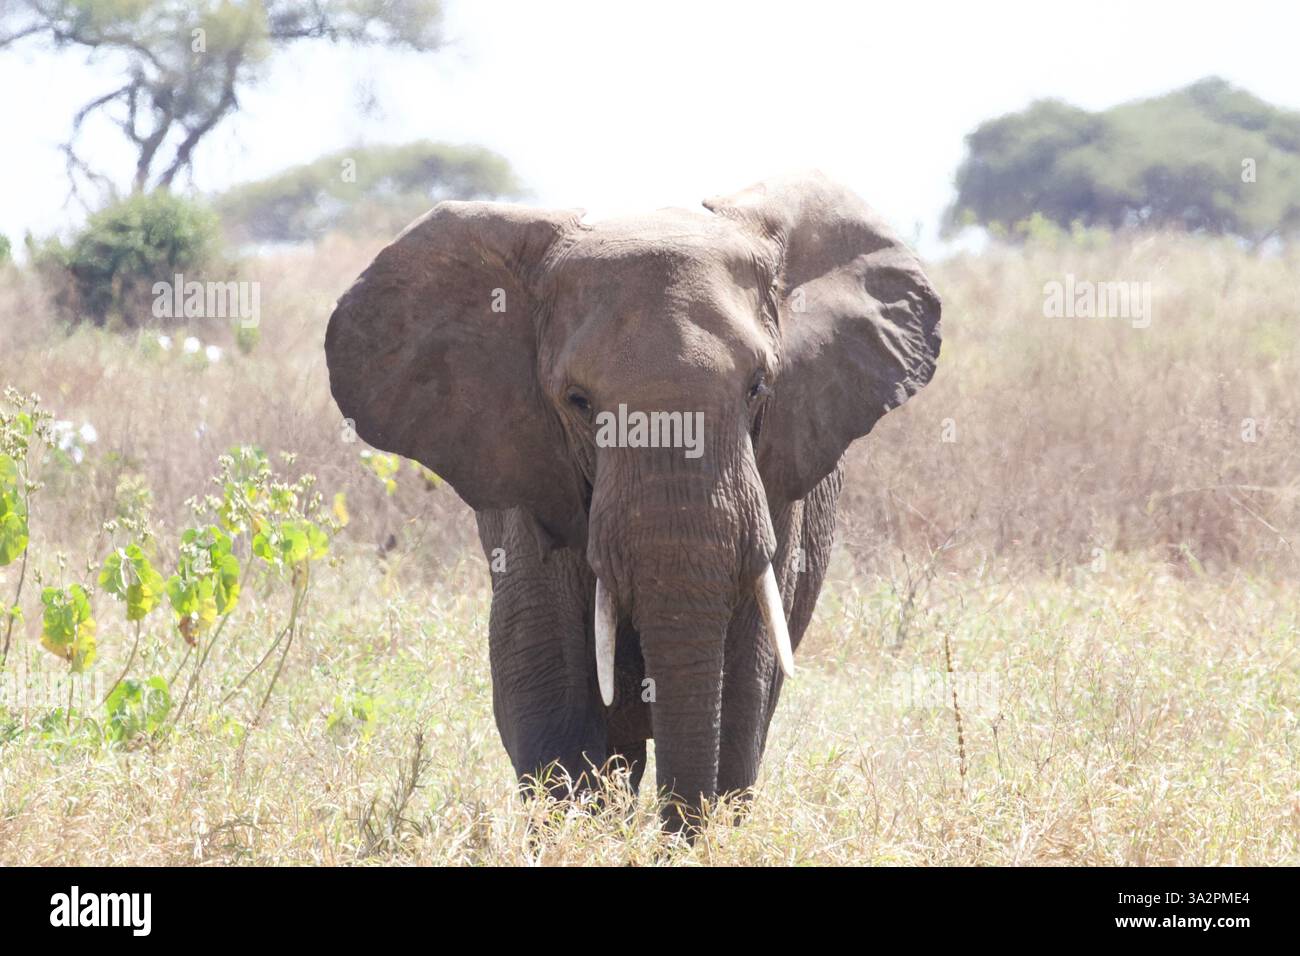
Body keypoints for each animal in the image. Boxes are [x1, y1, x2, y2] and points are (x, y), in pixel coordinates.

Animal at [324, 171, 941, 832]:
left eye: (758, 388)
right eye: (577, 401)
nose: (674, 836)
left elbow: (743, 681)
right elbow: (548, 675)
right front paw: (581, 831)